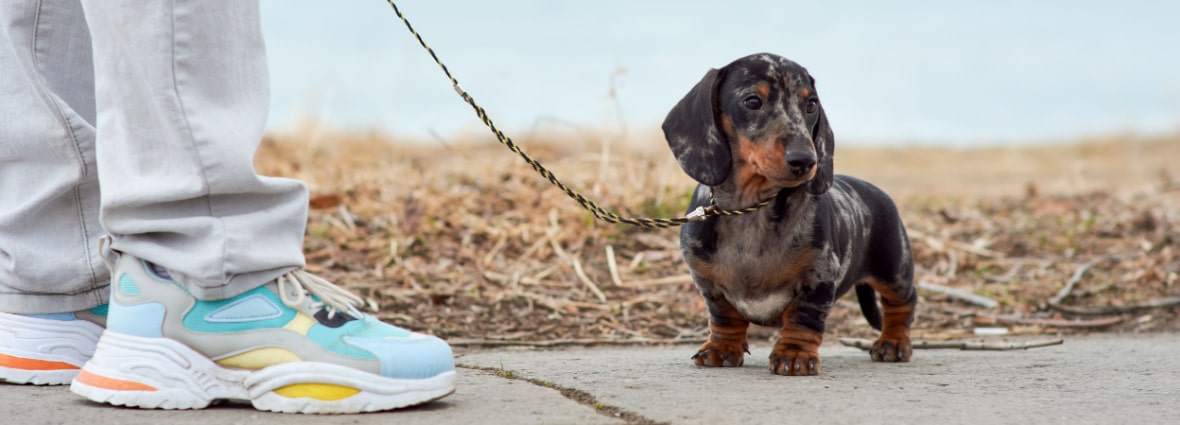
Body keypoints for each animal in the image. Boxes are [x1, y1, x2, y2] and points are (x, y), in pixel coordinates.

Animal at [660, 53, 915, 375]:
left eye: (811, 104)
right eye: (752, 101)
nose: (805, 160)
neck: (750, 208)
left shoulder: (818, 278)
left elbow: (802, 319)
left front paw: (794, 355)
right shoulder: (710, 285)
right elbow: (724, 317)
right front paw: (721, 348)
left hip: (895, 270)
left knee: (902, 305)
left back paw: (893, 343)